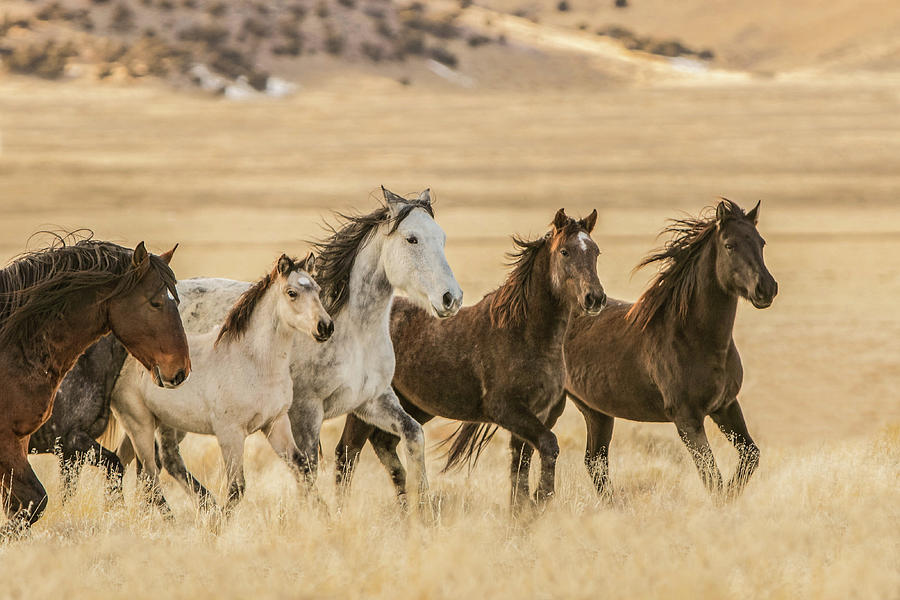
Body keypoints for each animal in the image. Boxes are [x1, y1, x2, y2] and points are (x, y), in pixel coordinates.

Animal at [112, 253, 330, 510]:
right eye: (292, 292)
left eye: (317, 290)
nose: (325, 327)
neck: (255, 364)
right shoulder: (230, 434)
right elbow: (237, 488)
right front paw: (218, 520)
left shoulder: (275, 424)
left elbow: (302, 468)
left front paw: (324, 514)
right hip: (140, 423)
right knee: (150, 477)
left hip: (159, 423)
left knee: (134, 463)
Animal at [336, 209, 604, 508]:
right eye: (565, 252)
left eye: (595, 252)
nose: (595, 298)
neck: (523, 333)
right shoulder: (508, 410)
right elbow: (548, 446)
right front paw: (541, 497)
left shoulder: (536, 416)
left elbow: (520, 467)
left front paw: (524, 509)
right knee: (347, 453)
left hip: (413, 405)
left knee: (385, 443)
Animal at [568, 200, 776, 502]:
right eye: (730, 245)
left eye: (761, 242)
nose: (766, 288)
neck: (693, 336)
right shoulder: (687, 419)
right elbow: (712, 477)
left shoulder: (725, 406)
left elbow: (750, 456)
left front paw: (731, 499)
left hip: (597, 413)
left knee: (594, 462)